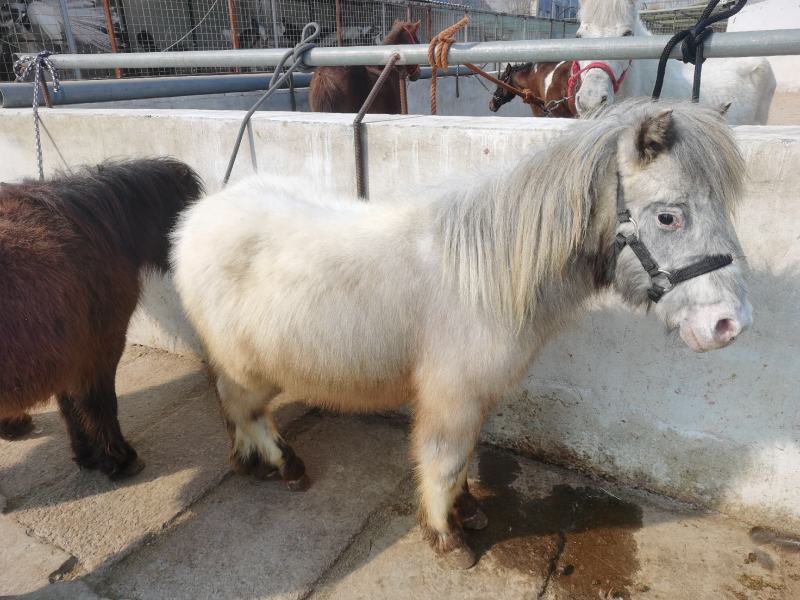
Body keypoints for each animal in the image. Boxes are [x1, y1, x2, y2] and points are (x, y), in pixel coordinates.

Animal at [0, 159, 203, 479]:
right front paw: (118, 458)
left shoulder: (67, 351)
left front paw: (86, 455)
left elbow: (71, 406)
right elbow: (99, 402)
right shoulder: (99, 348)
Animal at [171, 100, 752, 569]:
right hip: (247, 365)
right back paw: (281, 465)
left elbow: (466, 456)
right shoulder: (452, 396)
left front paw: (467, 511)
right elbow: (445, 461)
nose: (728, 325)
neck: (489, 275)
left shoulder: (475, 397)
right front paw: (446, 539)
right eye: (669, 217)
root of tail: (200, 215)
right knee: (244, 406)